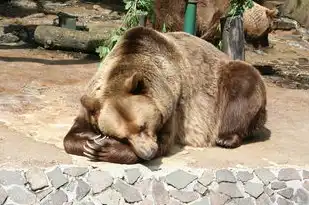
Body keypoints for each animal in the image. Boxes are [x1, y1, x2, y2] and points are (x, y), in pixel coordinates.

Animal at [63, 25, 268, 164]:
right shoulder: (92, 102)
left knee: (244, 83)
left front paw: (102, 149)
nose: (146, 151)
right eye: (123, 137)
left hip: (222, 82)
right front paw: (90, 143)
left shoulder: (172, 103)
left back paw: (226, 138)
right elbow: (72, 134)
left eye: (143, 125)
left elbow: (164, 141)